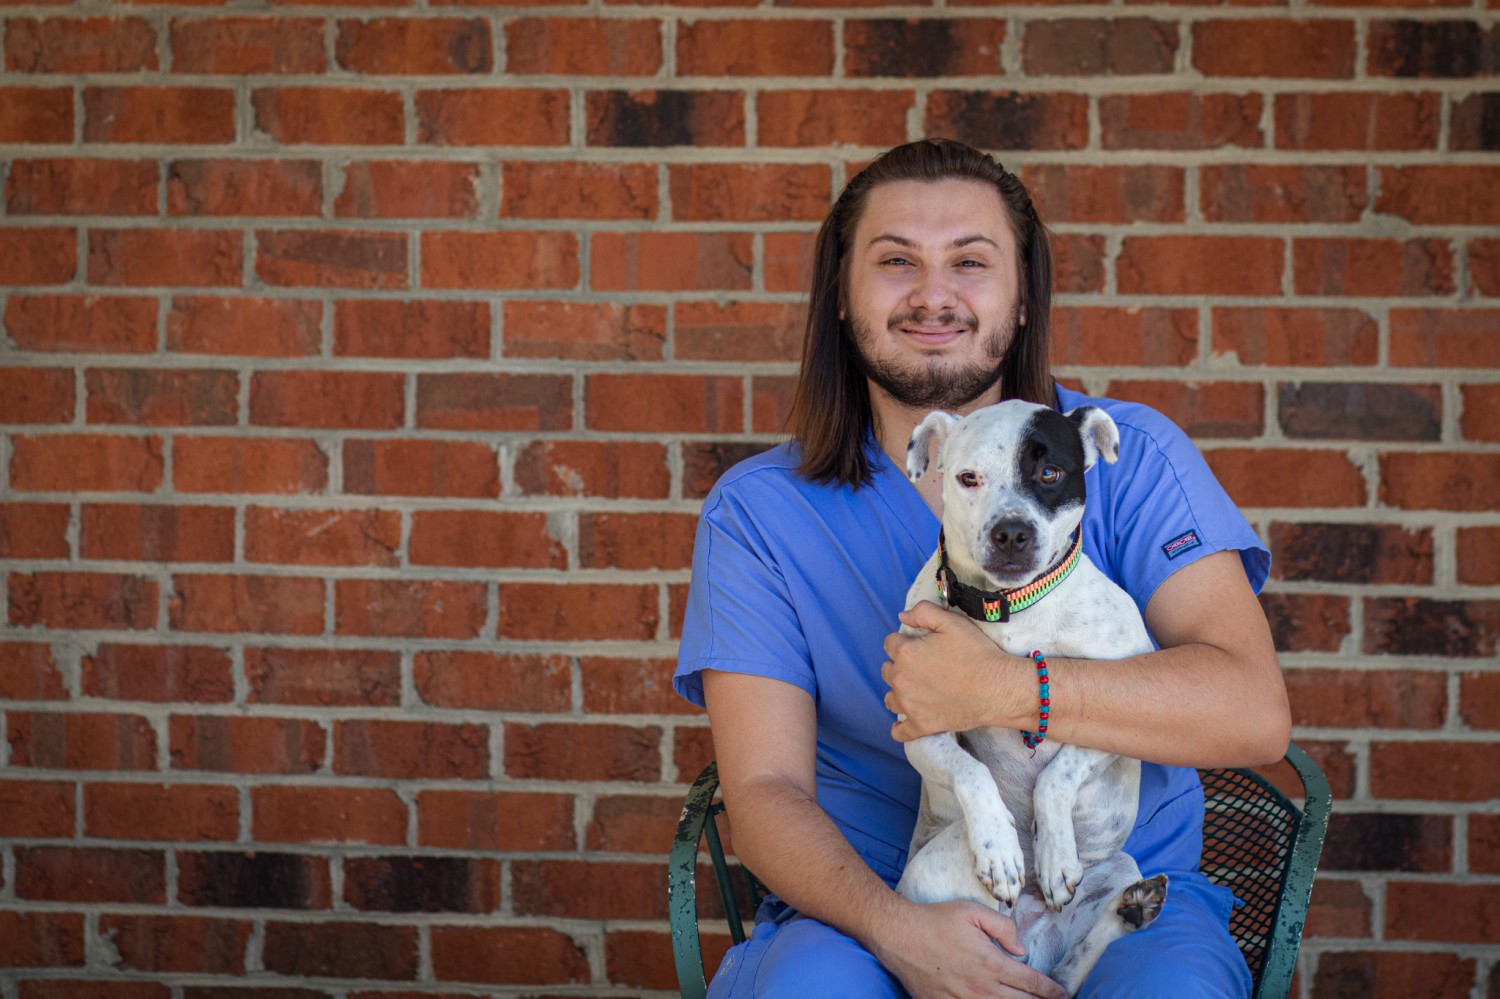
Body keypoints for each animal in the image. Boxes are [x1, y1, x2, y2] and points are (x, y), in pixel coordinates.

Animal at [888, 402, 1170, 990]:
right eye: (968, 478)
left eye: (1050, 473)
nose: (1012, 531)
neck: (1011, 607)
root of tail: (1030, 938)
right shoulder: (920, 728)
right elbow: (972, 771)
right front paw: (999, 846)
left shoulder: (1121, 712)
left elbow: (1057, 775)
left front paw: (1057, 852)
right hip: (950, 868)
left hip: (1117, 866)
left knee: (1073, 967)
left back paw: (1133, 906)